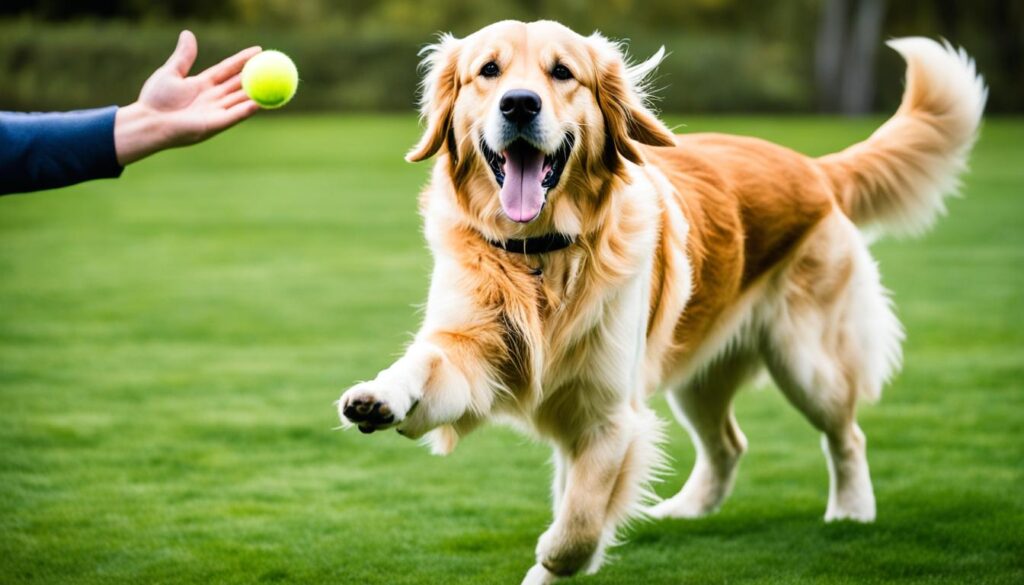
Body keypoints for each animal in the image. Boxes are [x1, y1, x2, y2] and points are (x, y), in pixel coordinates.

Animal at [339, 20, 987, 581]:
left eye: (562, 72)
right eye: (488, 71)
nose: (519, 104)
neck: (541, 254)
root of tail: (813, 166)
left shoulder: (609, 416)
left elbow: (578, 526)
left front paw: (556, 558)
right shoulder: (476, 352)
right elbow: (426, 362)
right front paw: (378, 396)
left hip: (806, 362)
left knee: (846, 435)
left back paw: (851, 511)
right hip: (697, 376)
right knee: (728, 444)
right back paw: (686, 511)